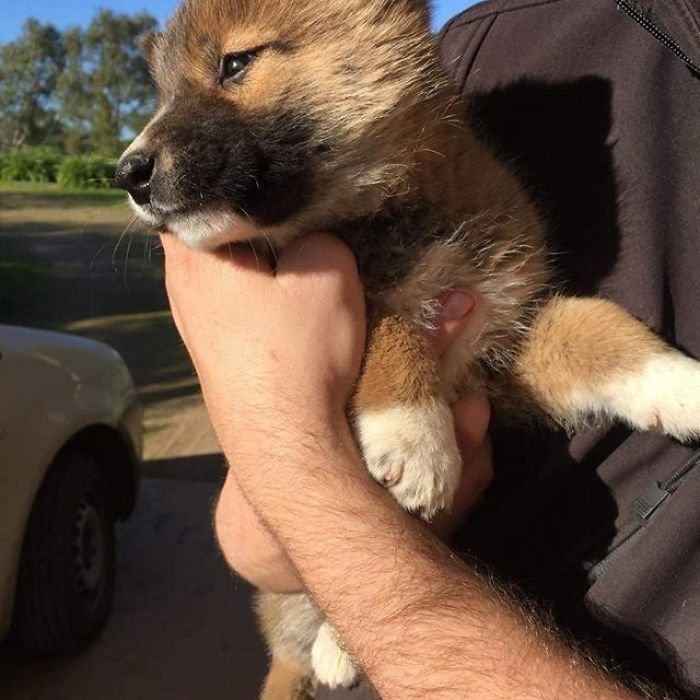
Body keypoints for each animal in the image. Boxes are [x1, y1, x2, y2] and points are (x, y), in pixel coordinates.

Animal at [117, 0, 700, 696]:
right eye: (162, 93)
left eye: (234, 64)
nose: (127, 173)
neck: (392, 213)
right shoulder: (398, 318)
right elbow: (391, 325)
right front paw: (415, 432)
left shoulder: (502, 345)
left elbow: (596, 323)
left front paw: (678, 383)